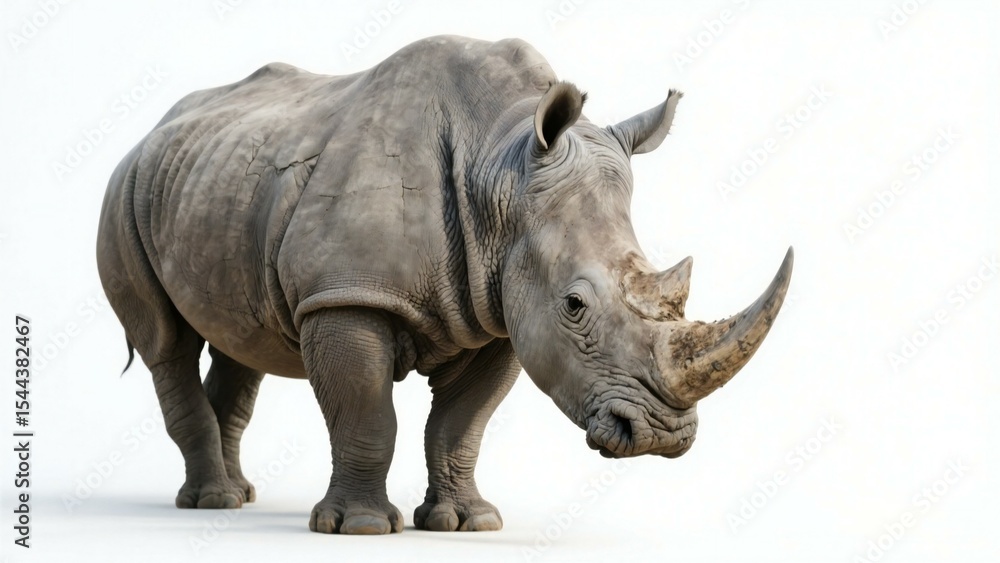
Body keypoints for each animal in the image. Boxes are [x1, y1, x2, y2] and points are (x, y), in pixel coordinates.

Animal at [96, 35, 792, 535]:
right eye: (574, 306)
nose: (661, 436)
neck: (503, 165)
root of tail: (153, 129)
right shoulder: (345, 296)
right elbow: (366, 414)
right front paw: (361, 528)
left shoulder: (501, 312)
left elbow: (461, 423)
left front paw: (466, 523)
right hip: (122, 190)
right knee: (165, 343)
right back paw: (211, 504)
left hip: (213, 181)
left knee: (242, 346)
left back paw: (237, 495)